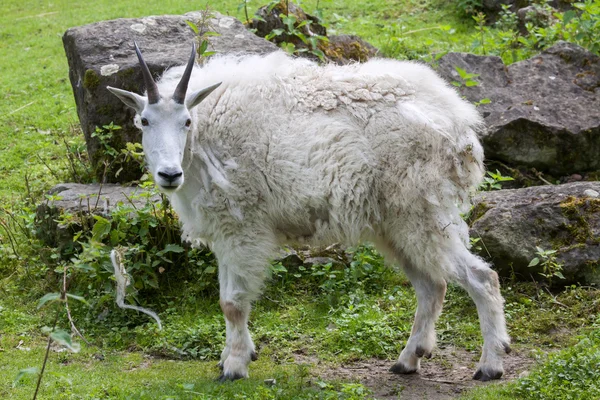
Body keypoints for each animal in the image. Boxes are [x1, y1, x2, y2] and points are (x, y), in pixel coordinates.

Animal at [105, 43, 508, 382]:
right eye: (144, 121)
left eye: (186, 122)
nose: (169, 174)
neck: (205, 139)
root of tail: (460, 123)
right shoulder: (224, 232)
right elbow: (227, 300)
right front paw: (235, 356)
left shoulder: (242, 228)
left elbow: (232, 303)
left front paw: (234, 366)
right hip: (394, 224)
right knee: (431, 285)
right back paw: (408, 359)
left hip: (423, 211)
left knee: (481, 277)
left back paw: (490, 364)